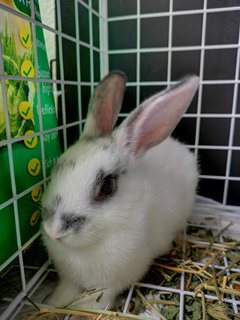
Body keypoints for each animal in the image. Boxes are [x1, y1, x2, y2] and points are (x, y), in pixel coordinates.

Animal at [41, 70, 199, 310]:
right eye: (57, 166)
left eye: (106, 186)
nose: (55, 231)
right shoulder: (68, 276)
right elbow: (67, 288)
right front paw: (54, 303)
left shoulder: (114, 280)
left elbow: (100, 296)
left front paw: (86, 309)